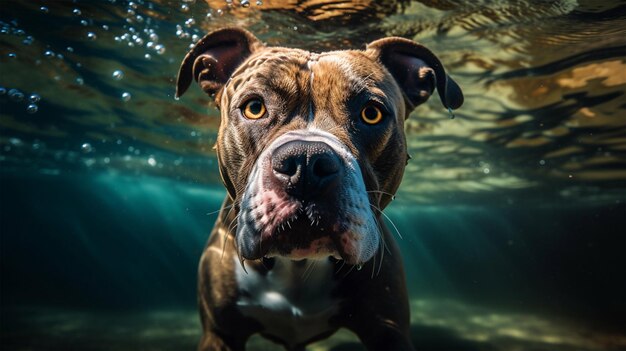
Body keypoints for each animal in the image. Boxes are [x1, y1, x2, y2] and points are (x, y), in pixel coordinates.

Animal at [173, 26, 460, 350]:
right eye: (254, 108)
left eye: (371, 113)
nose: (306, 163)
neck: (299, 266)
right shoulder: (219, 334)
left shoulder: (390, 331)